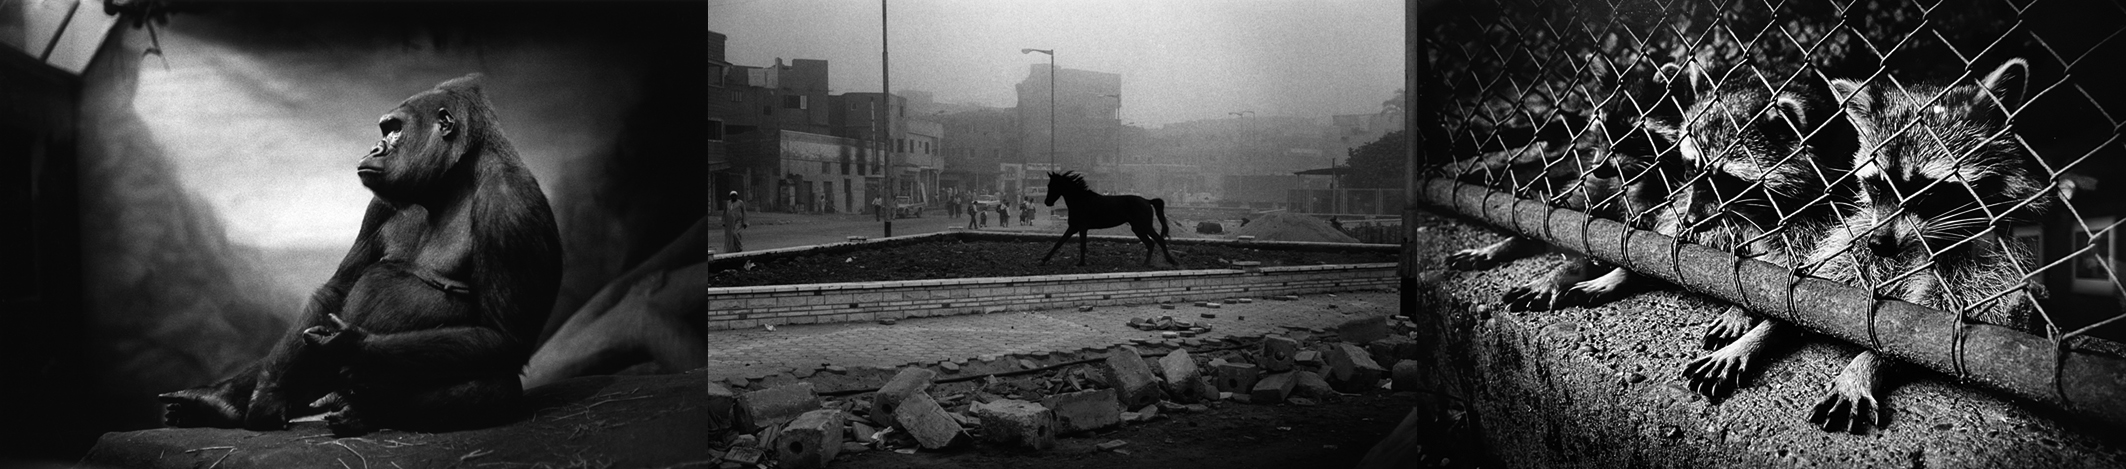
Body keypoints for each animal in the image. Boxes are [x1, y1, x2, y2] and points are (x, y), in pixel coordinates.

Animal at [156, 73, 565, 435]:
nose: (374, 149)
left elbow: (503, 337)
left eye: (394, 130)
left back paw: (365, 411)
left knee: (494, 387)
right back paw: (219, 400)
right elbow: (338, 288)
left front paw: (351, 347)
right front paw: (267, 392)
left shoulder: (509, 203)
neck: (452, 180)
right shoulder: (379, 206)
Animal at [1033, 171, 1182, 267]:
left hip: (1144, 226)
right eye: (1048, 185)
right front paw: (1043, 260)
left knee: (1159, 240)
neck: (1080, 200)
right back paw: (1146, 263)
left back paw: (1171, 261)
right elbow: (1058, 243)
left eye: (1052, 185)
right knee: (1150, 243)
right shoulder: (1073, 227)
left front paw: (1081, 263)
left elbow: (1082, 245)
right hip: (1137, 228)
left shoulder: (1081, 227)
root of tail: (1147, 200)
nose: (1047, 202)